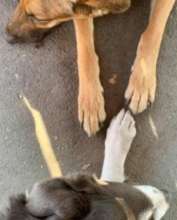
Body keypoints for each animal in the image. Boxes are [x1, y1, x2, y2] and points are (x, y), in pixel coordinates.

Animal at [5, 0, 176, 136]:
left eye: (38, 18)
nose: (6, 37)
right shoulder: (80, 11)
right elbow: (85, 51)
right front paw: (90, 104)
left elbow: (152, 33)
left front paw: (142, 84)